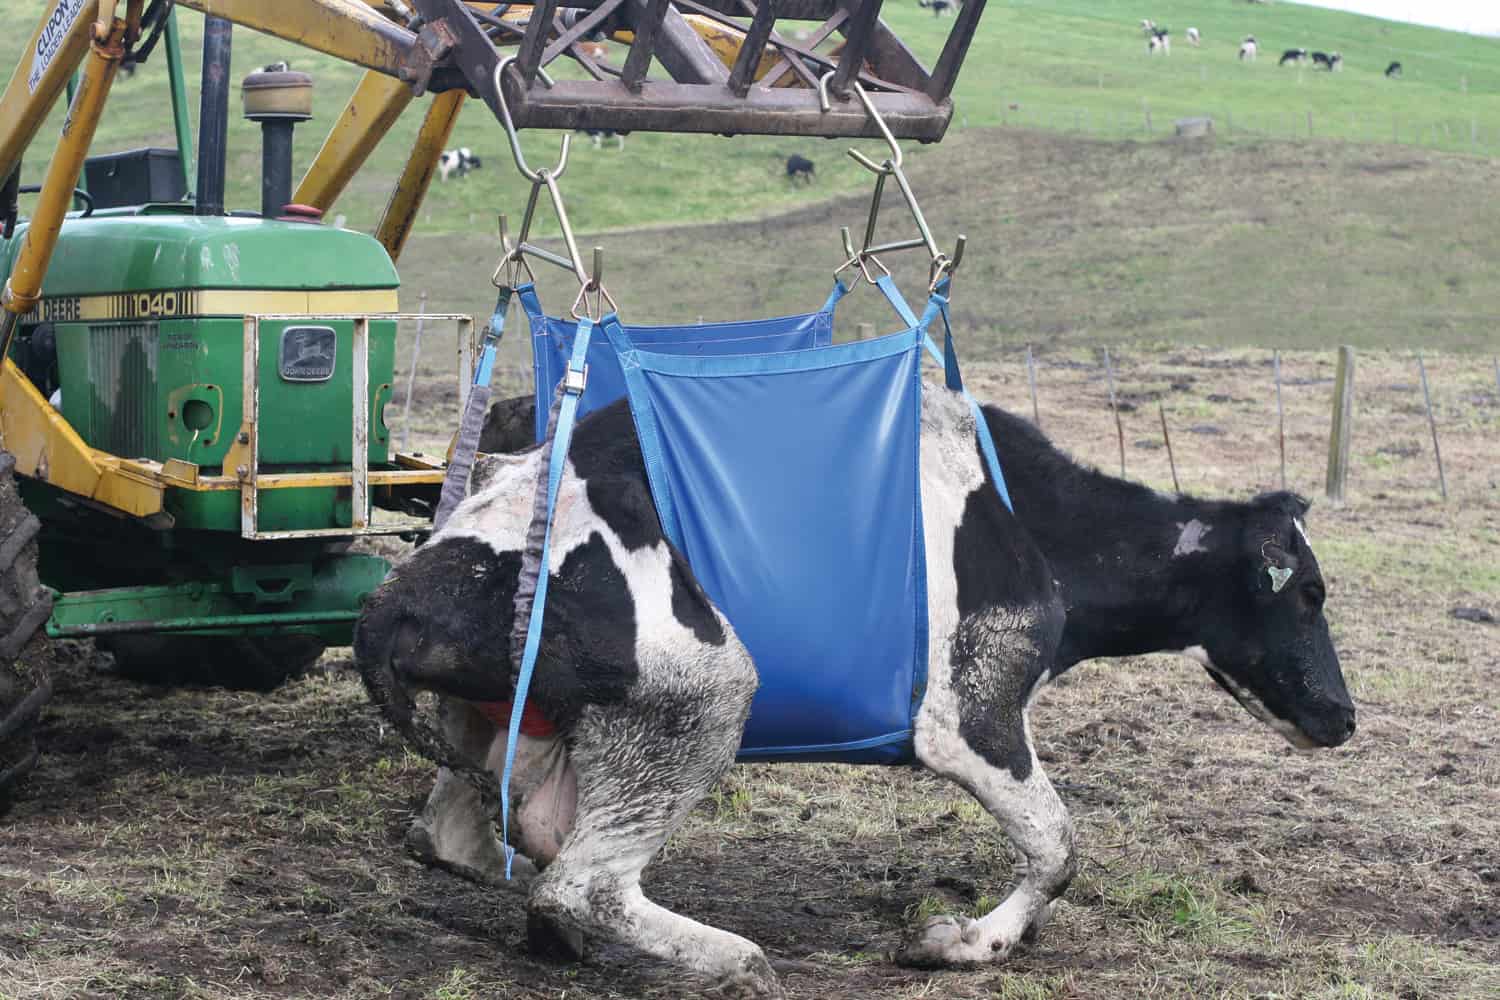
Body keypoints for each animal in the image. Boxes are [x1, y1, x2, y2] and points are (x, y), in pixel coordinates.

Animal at [355, 393, 1356, 998]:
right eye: (1308, 592)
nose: (1343, 718)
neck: (1037, 525)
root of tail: (401, 592)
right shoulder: (971, 719)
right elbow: (1060, 846)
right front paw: (961, 943)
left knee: (470, 840)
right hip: (709, 690)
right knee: (581, 884)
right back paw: (734, 959)